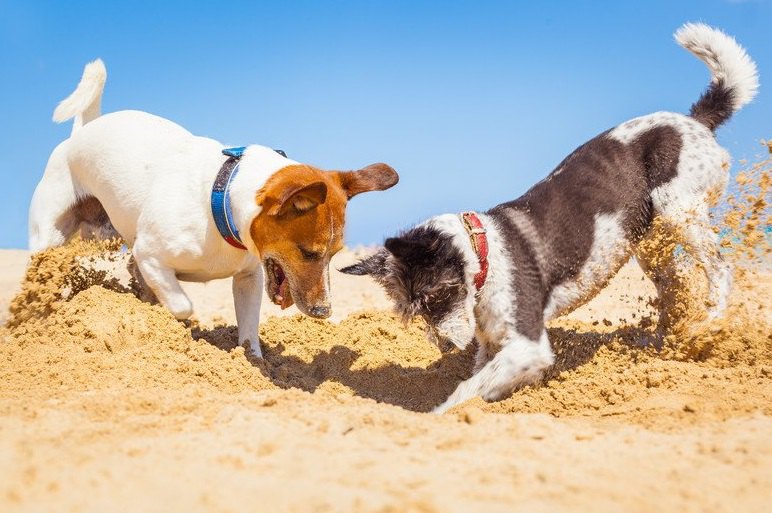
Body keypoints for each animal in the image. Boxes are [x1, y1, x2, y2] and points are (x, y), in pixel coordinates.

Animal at [28, 59, 398, 356]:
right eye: (308, 253)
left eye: (335, 255)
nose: (324, 312)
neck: (221, 203)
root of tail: (82, 131)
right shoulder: (149, 255)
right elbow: (181, 305)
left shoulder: (249, 277)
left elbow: (249, 329)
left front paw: (253, 361)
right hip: (49, 237)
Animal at [342, 24, 760, 412]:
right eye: (410, 310)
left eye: (434, 296)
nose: (444, 345)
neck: (484, 254)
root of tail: (696, 121)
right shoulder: (494, 344)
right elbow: (482, 376)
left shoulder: (528, 344)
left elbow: (467, 390)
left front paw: (439, 414)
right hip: (650, 241)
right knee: (674, 287)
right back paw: (663, 343)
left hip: (680, 210)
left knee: (720, 269)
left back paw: (709, 324)